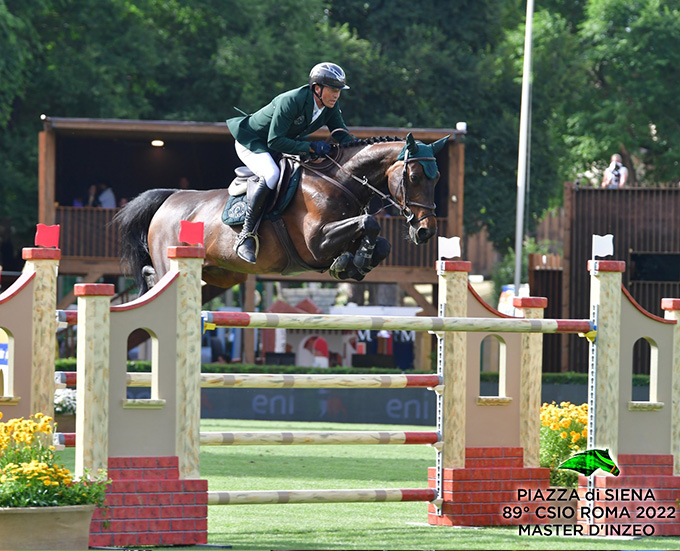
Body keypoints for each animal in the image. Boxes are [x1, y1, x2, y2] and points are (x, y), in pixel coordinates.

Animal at [114, 133, 448, 296]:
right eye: (414, 177)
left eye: (438, 179)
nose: (426, 231)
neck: (339, 181)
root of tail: (169, 198)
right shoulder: (316, 243)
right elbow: (370, 221)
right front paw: (353, 262)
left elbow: (380, 241)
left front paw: (353, 264)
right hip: (173, 260)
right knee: (157, 277)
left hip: (218, 274)